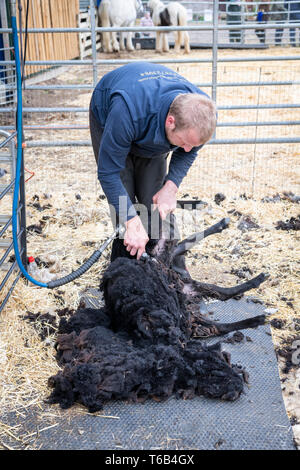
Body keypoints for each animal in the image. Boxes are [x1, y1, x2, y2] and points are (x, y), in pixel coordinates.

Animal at [48, 217, 268, 412]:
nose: (236, 389)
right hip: (183, 294)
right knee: (218, 303)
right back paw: (257, 310)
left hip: (173, 275)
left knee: (183, 249)